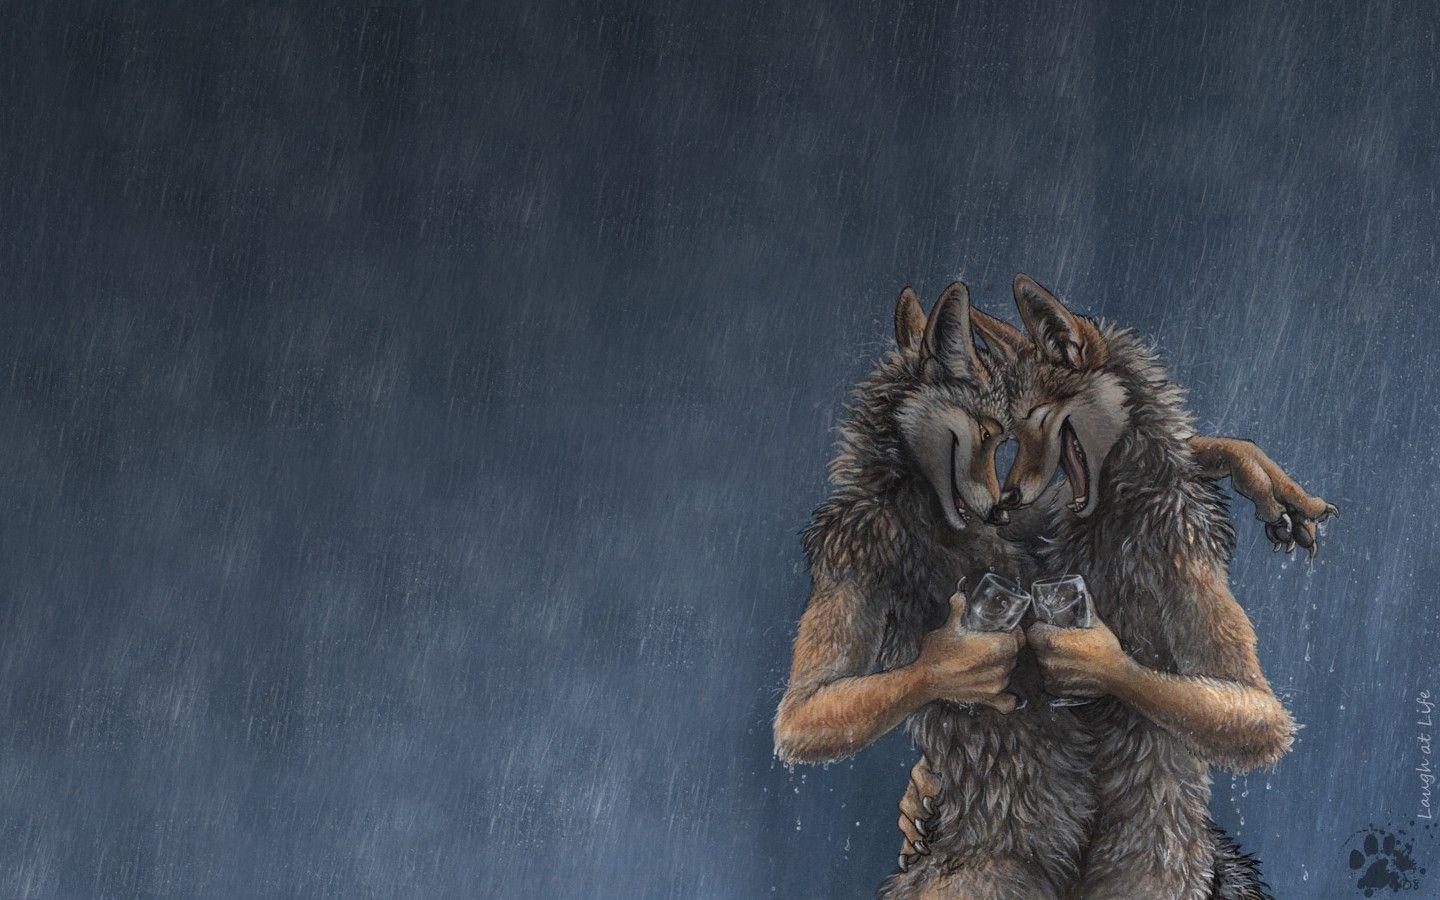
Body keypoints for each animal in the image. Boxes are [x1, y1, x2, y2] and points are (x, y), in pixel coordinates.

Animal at [774, 282, 1325, 898]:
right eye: (995, 431)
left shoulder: (1179, 544)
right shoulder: (853, 550)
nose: (1003, 506)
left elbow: (1256, 712)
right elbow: (803, 713)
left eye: (1023, 424)